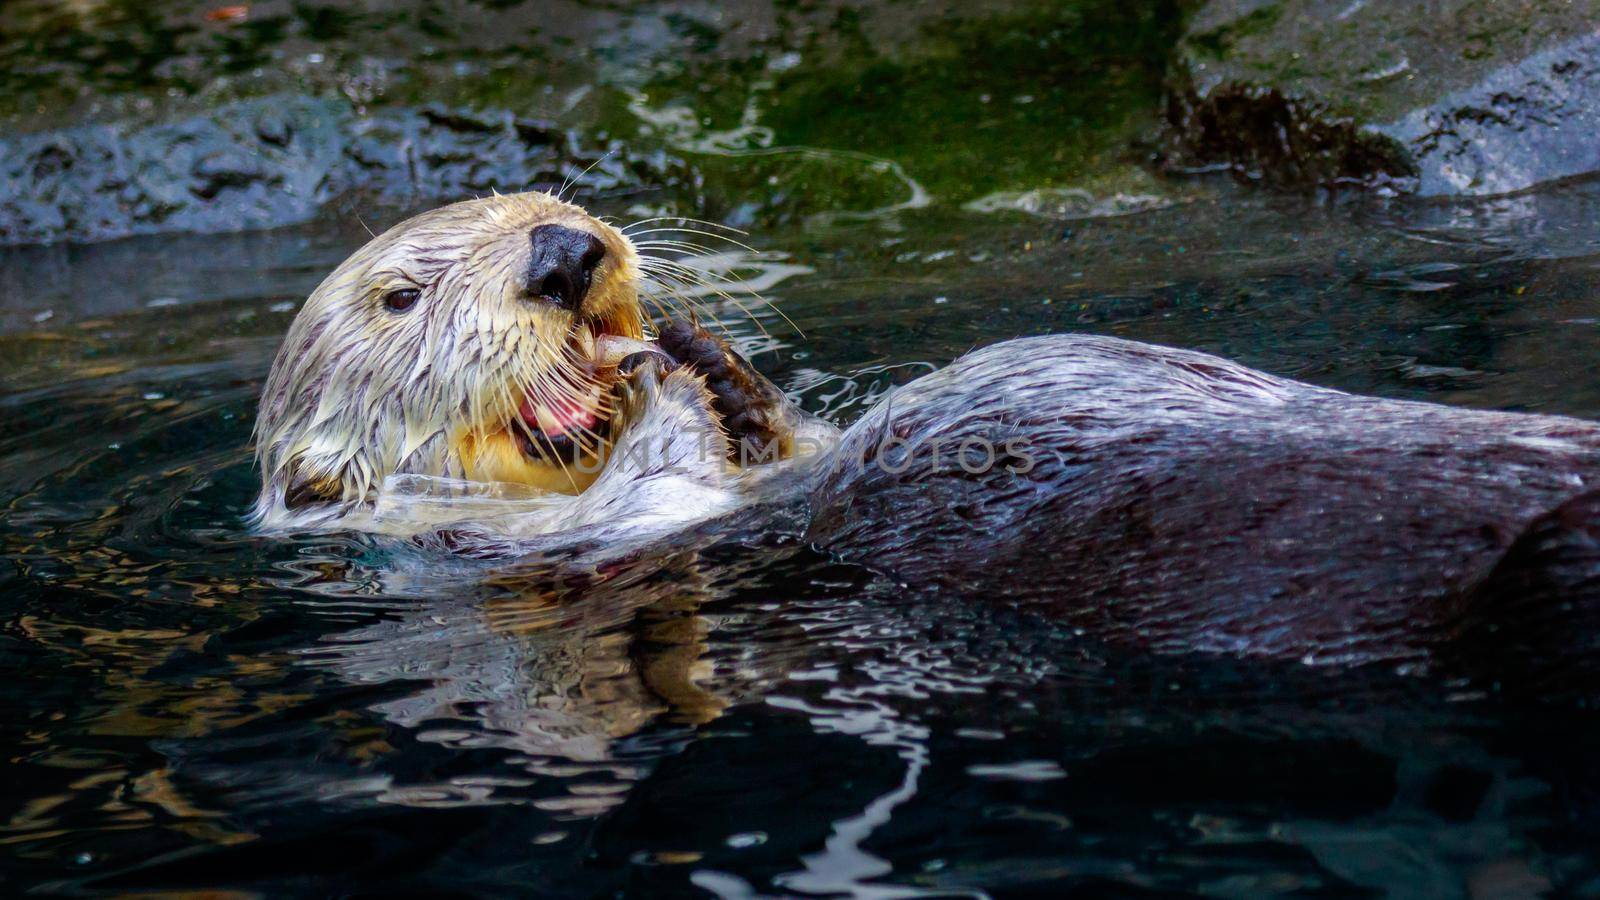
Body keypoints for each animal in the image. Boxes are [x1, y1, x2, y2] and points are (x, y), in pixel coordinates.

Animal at [252, 188, 1600, 695]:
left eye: (552, 199)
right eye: (399, 296)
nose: (563, 254)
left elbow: (788, 441)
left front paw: (702, 354)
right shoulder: (521, 551)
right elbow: (665, 492)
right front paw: (663, 386)